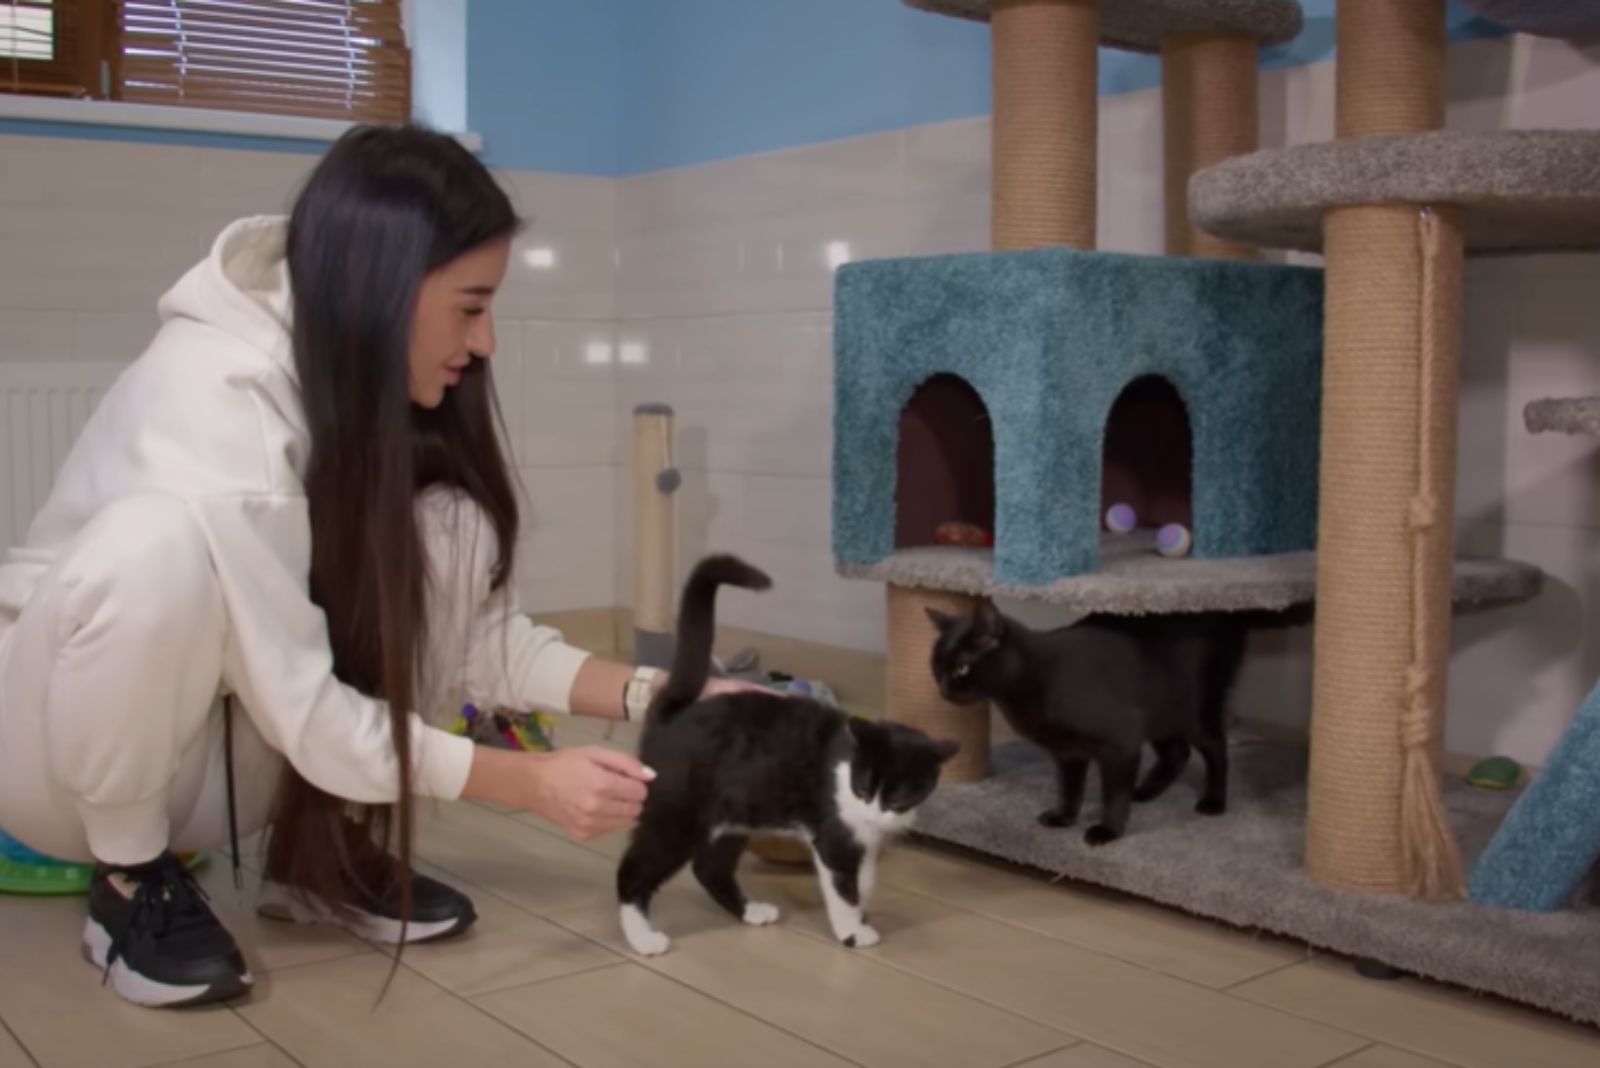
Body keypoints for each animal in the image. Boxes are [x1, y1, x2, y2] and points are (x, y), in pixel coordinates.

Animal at [617, 556, 953, 952]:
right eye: (864, 786)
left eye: (900, 795)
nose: (874, 809)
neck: (845, 764)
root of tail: (676, 712)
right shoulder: (835, 836)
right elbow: (844, 888)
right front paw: (852, 931)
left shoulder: (866, 840)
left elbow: (864, 882)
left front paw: (863, 914)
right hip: (677, 813)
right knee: (634, 869)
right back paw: (643, 938)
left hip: (736, 813)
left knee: (710, 866)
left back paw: (751, 911)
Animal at [928, 604, 1248, 844]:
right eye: (936, 668)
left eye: (962, 668)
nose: (943, 689)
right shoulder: (1069, 752)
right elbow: (1070, 788)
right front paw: (1064, 818)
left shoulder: (1121, 740)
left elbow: (1113, 793)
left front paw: (1108, 831)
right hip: (1158, 715)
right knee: (1177, 753)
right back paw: (1143, 793)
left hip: (1191, 712)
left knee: (1216, 750)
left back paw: (1213, 802)